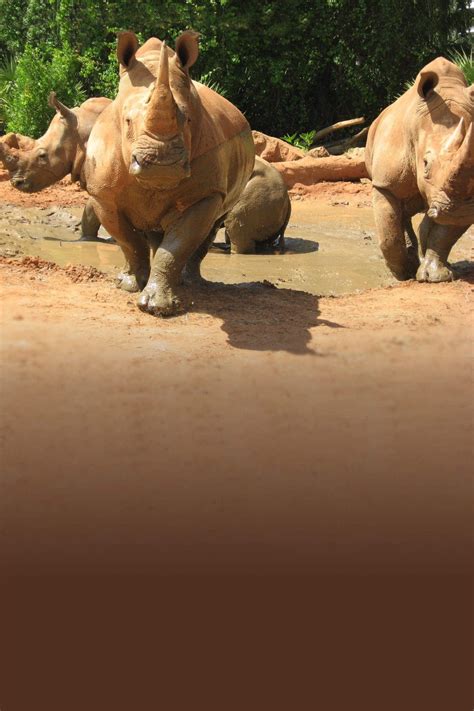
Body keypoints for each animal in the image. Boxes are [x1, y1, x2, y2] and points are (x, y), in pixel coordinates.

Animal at [85, 30, 256, 314]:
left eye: (188, 119)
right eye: (127, 121)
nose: (161, 164)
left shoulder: (205, 194)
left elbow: (178, 244)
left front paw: (158, 307)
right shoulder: (103, 193)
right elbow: (128, 241)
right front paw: (130, 286)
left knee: (212, 225)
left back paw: (191, 283)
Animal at [366, 57, 474, 282]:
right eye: (425, 163)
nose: (459, 212)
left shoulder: (460, 199)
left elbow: (443, 235)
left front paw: (435, 276)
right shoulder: (384, 183)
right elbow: (389, 234)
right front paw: (404, 273)